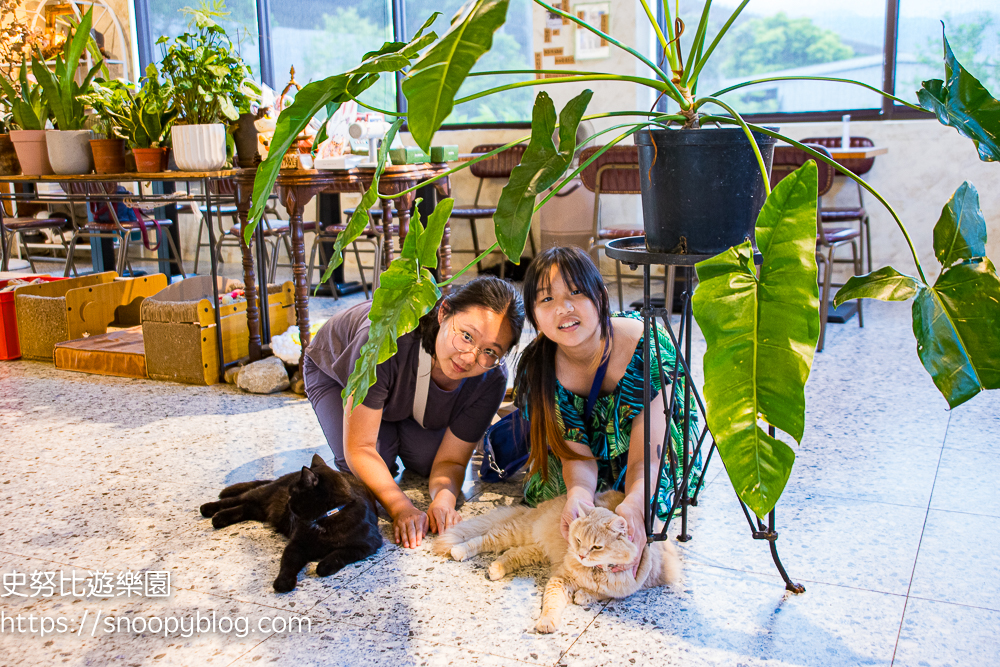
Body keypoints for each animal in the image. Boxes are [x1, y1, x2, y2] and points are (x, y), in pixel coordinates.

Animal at [199, 456, 382, 592]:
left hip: (260, 509)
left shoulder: (366, 545)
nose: (287, 502)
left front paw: (323, 565)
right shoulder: (296, 544)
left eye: (293, 494)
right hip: (261, 495)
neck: (326, 519)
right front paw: (283, 582)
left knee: (244, 508)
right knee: (236, 499)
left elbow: (338, 554)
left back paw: (219, 518)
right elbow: (288, 562)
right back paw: (209, 509)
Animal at [430, 488, 680, 636]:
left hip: (535, 550)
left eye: (597, 547)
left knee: (510, 555)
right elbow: (552, 604)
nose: (581, 555)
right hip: (516, 533)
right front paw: (547, 622)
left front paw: (584, 595)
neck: (593, 572)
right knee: (483, 540)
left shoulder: (633, 585)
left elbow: (603, 593)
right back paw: (459, 551)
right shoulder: (560, 579)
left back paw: (495, 569)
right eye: (578, 540)